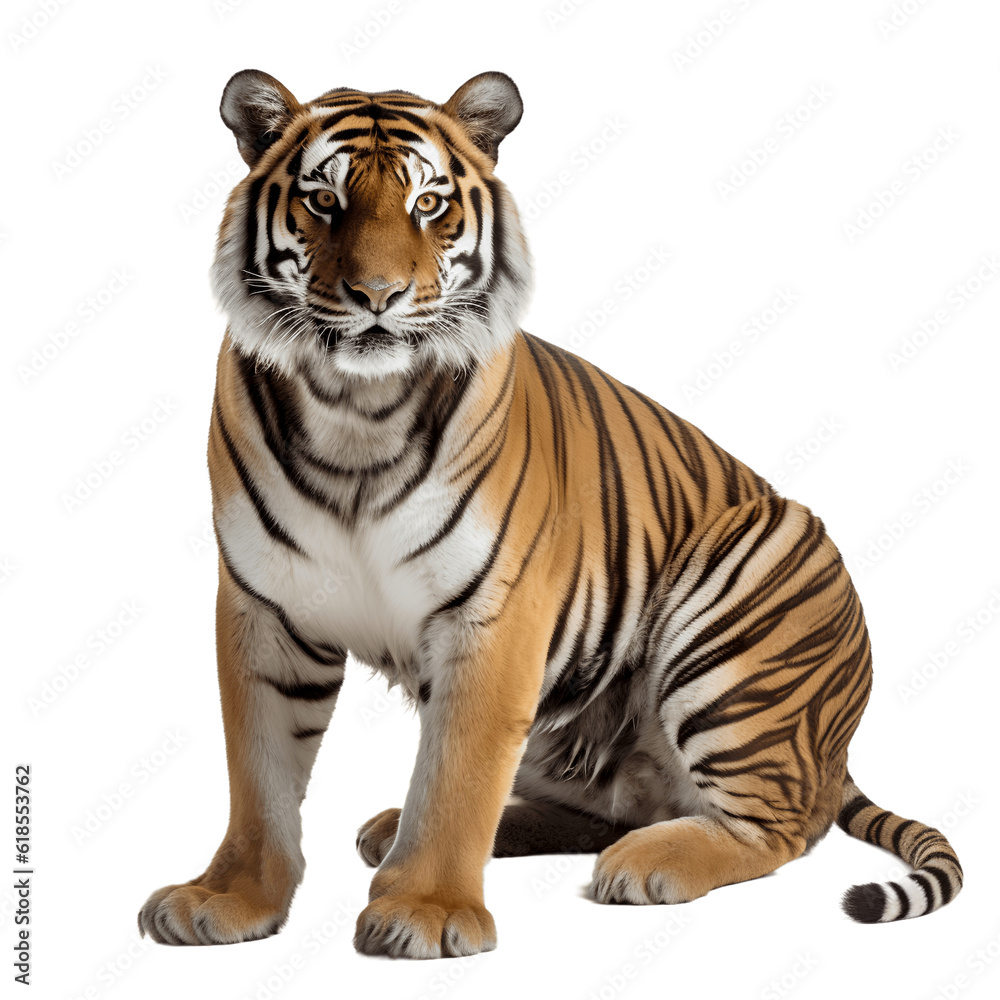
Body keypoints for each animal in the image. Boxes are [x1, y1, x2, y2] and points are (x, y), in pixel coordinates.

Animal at [137, 69, 963, 959]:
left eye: (428, 204)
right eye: (324, 202)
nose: (378, 296)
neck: (357, 409)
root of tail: (833, 750)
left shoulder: (495, 616)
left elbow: (458, 776)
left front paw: (426, 910)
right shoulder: (266, 607)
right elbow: (258, 770)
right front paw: (228, 897)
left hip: (747, 602)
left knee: (778, 827)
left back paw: (646, 864)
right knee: (613, 807)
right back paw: (398, 831)